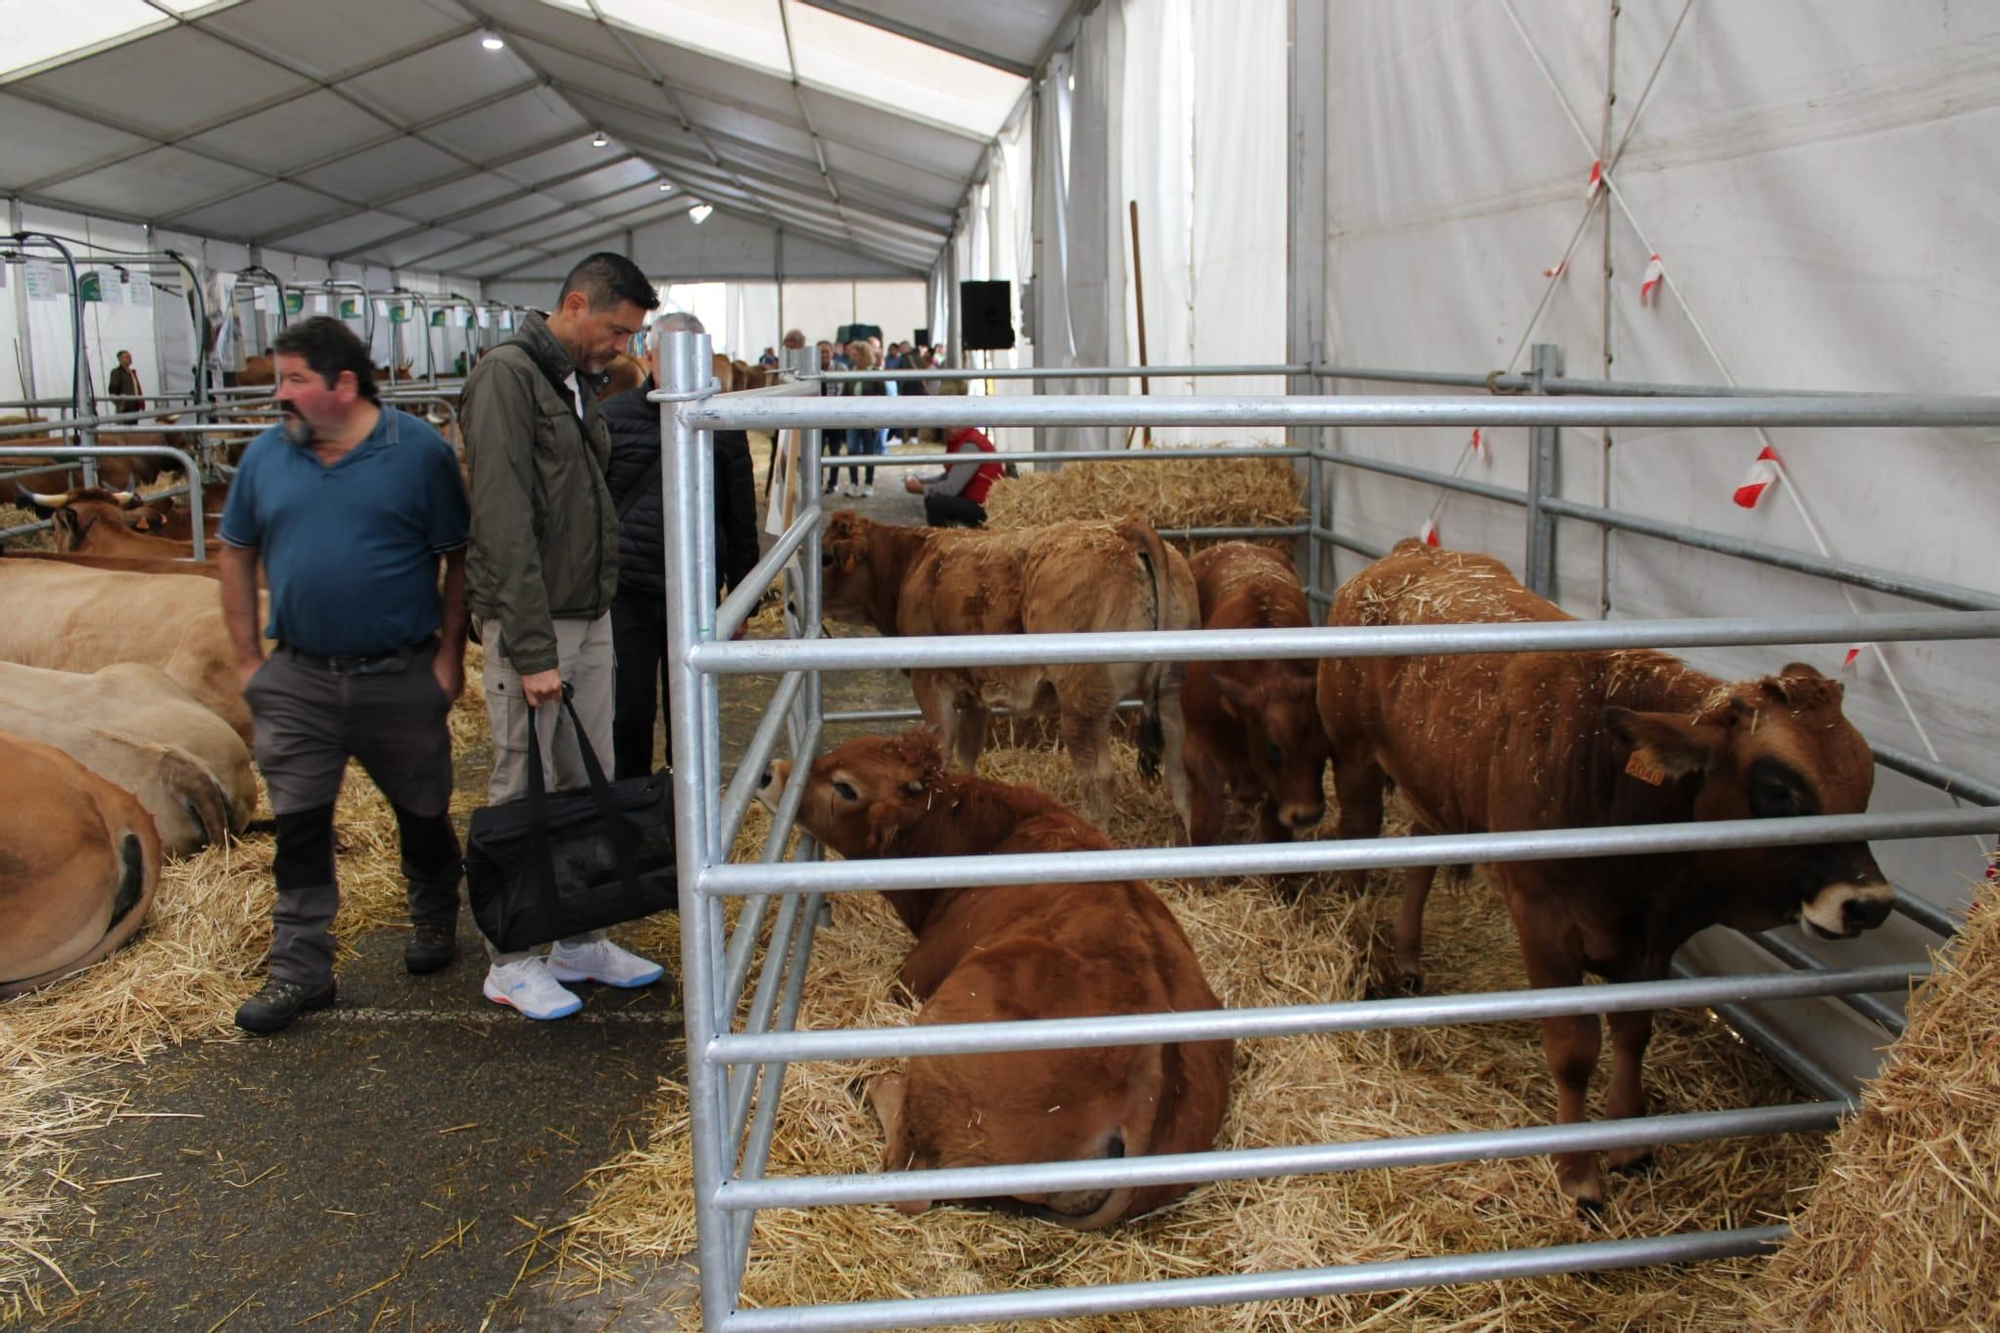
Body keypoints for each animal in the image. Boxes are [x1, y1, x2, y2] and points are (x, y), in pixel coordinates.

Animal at [752, 728, 1232, 1224]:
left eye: (846, 787)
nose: (770, 772)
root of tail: (1148, 1092)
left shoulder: (913, 978)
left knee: (910, 1178)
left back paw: (873, 1084)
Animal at [816, 510, 1200, 832]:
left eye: (825, 558)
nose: (800, 601)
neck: (913, 563)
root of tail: (1123, 528)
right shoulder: (973, 694)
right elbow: (967, 753)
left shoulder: (931, 685)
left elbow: (940, 753)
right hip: (1170, 694)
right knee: (1181, 772)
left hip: (1083, 702)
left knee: (1099, 778)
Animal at [1312, 536, 1888, 1200]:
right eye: (1779, 790)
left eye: (1864, 787)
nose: (1868, 903)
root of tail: (1411, 553)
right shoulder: (1545, 924)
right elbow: (1573, 1048)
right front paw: (1577, 1171)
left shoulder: (1655, 941)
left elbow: (1634, 1030)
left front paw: (1629, 1141)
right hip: (1355, 763)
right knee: (1357, 851)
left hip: (1433, 784)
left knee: (1419, 861)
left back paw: (1407, 955)